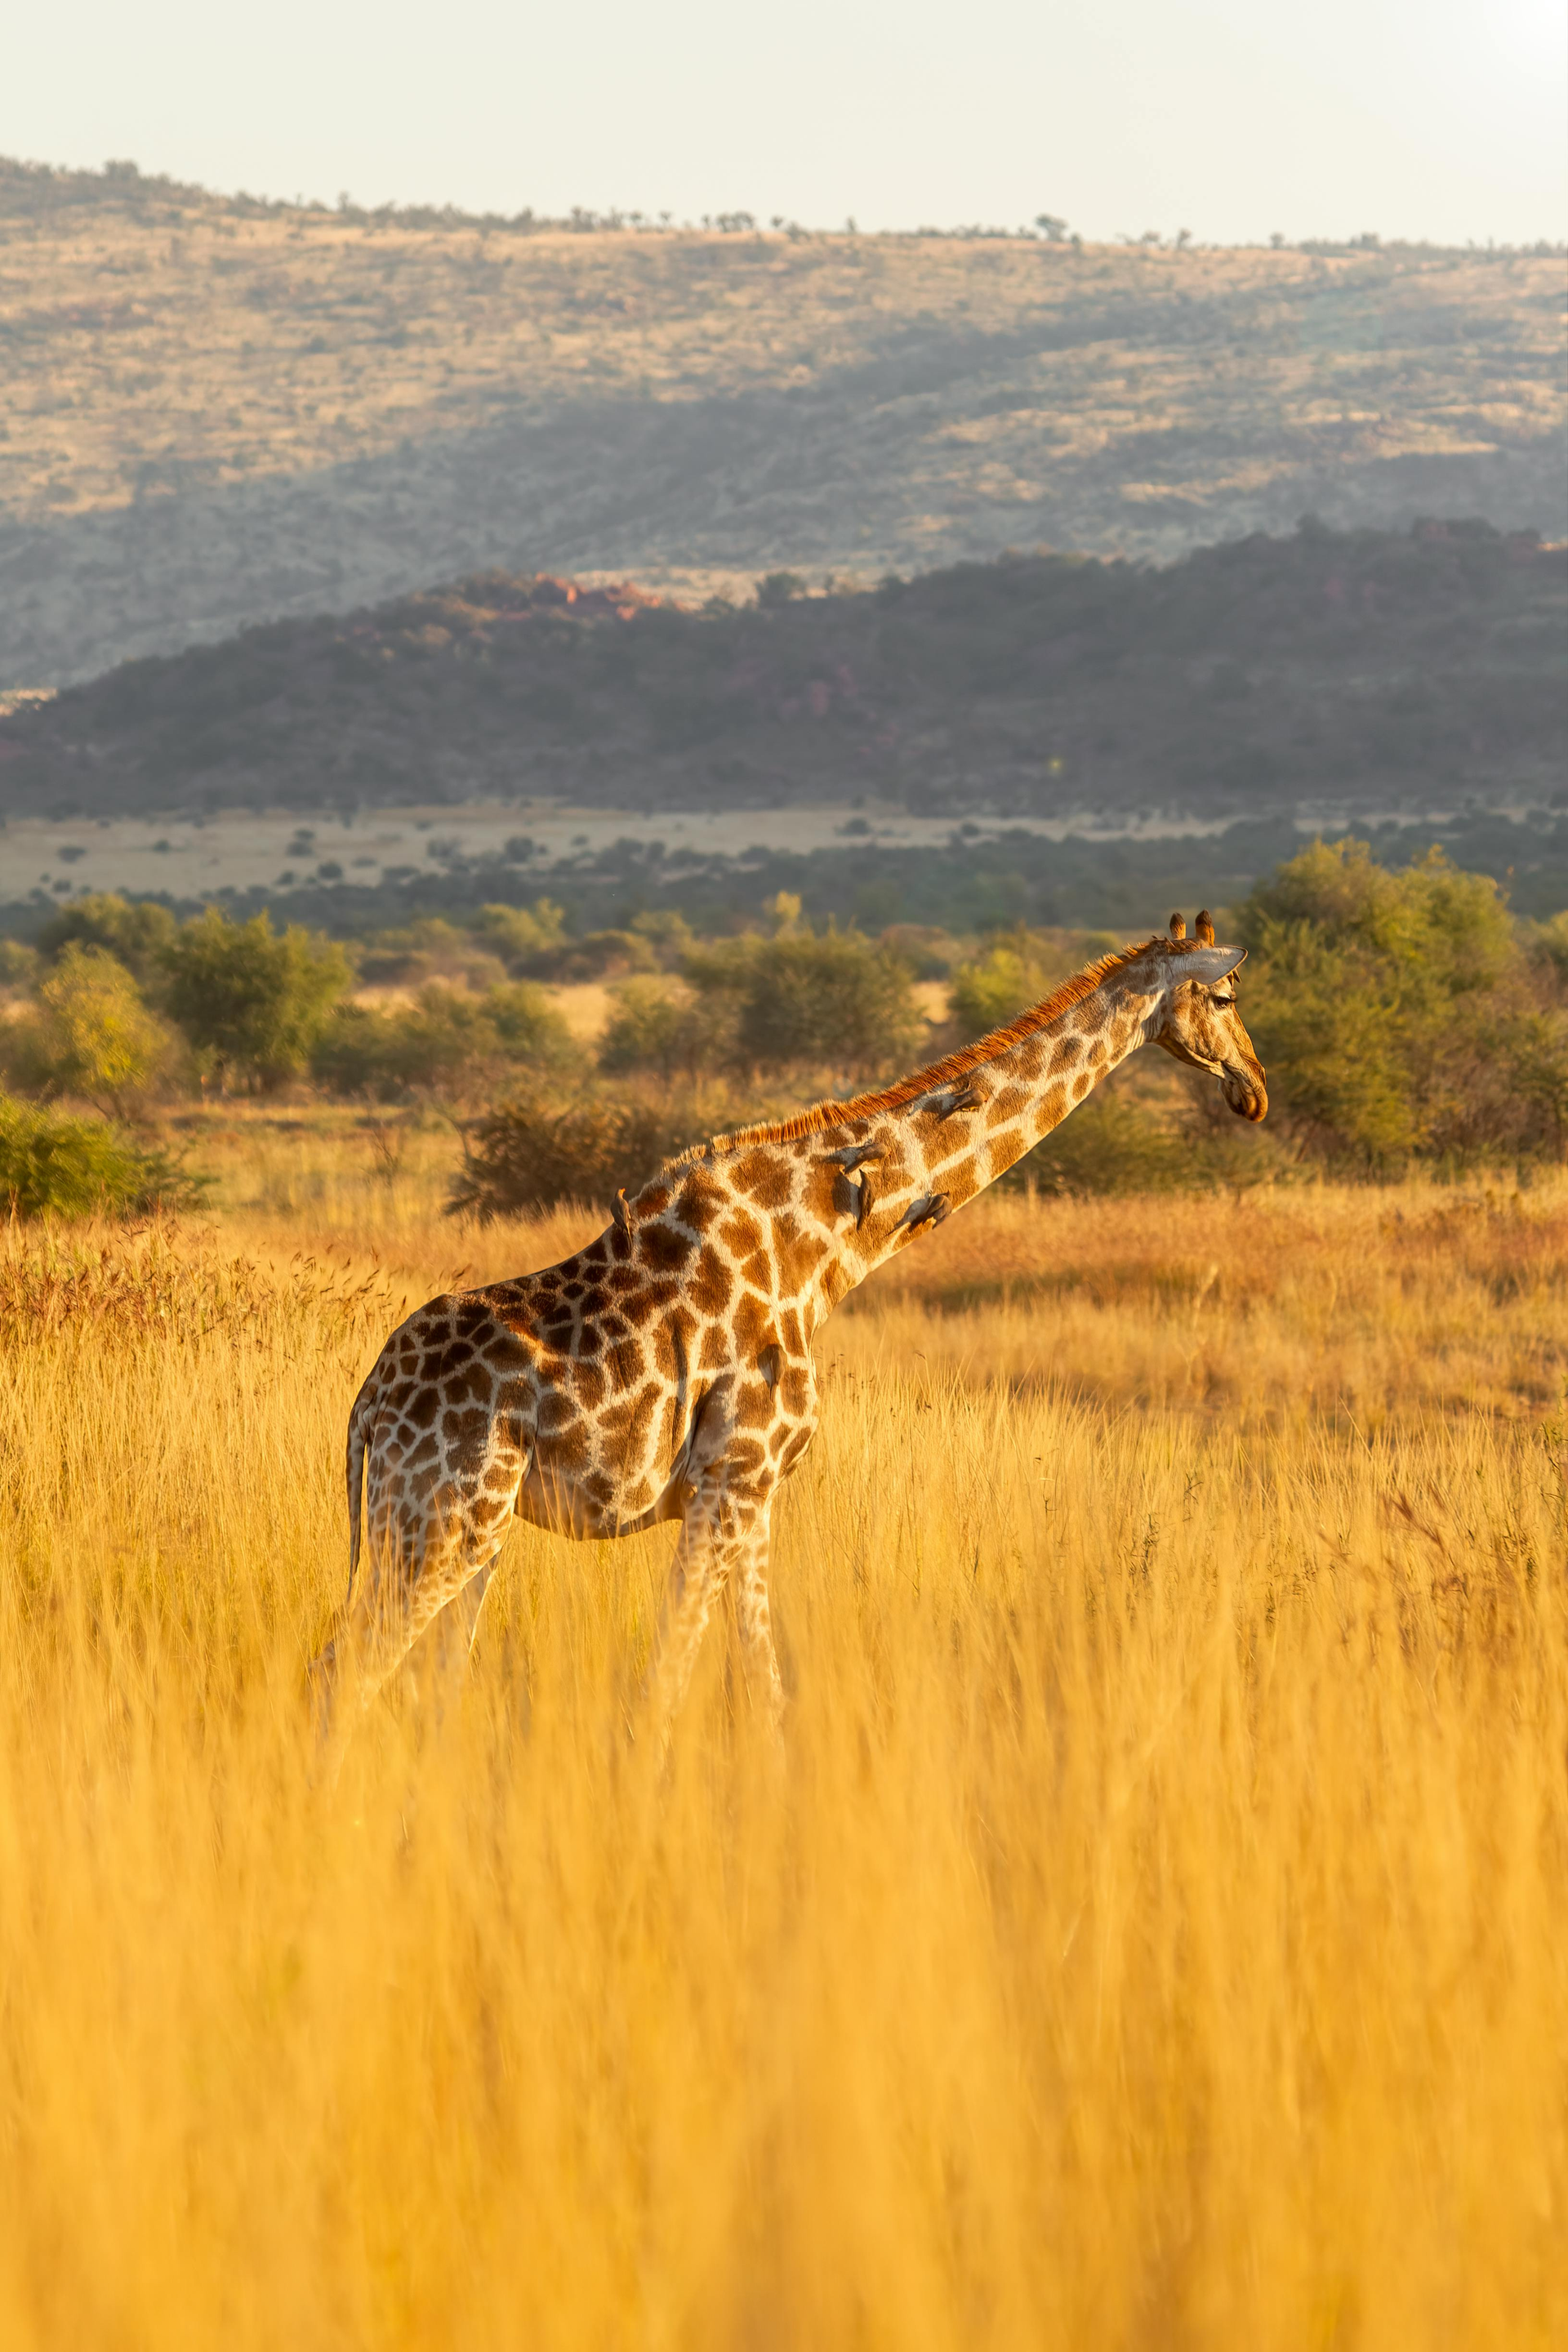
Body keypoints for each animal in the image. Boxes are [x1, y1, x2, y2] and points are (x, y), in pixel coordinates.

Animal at [311, 912, 1266, 1746]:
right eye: (1225, 995)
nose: (1254, 1091)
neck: (821, 1250)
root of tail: (366, 1405)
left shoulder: (757, 1490)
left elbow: (760, 1684)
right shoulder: (732, 1477)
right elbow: (667, 1681)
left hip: (468, 1529)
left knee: (425, 1682)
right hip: (443, 1516)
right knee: (346, 1668)